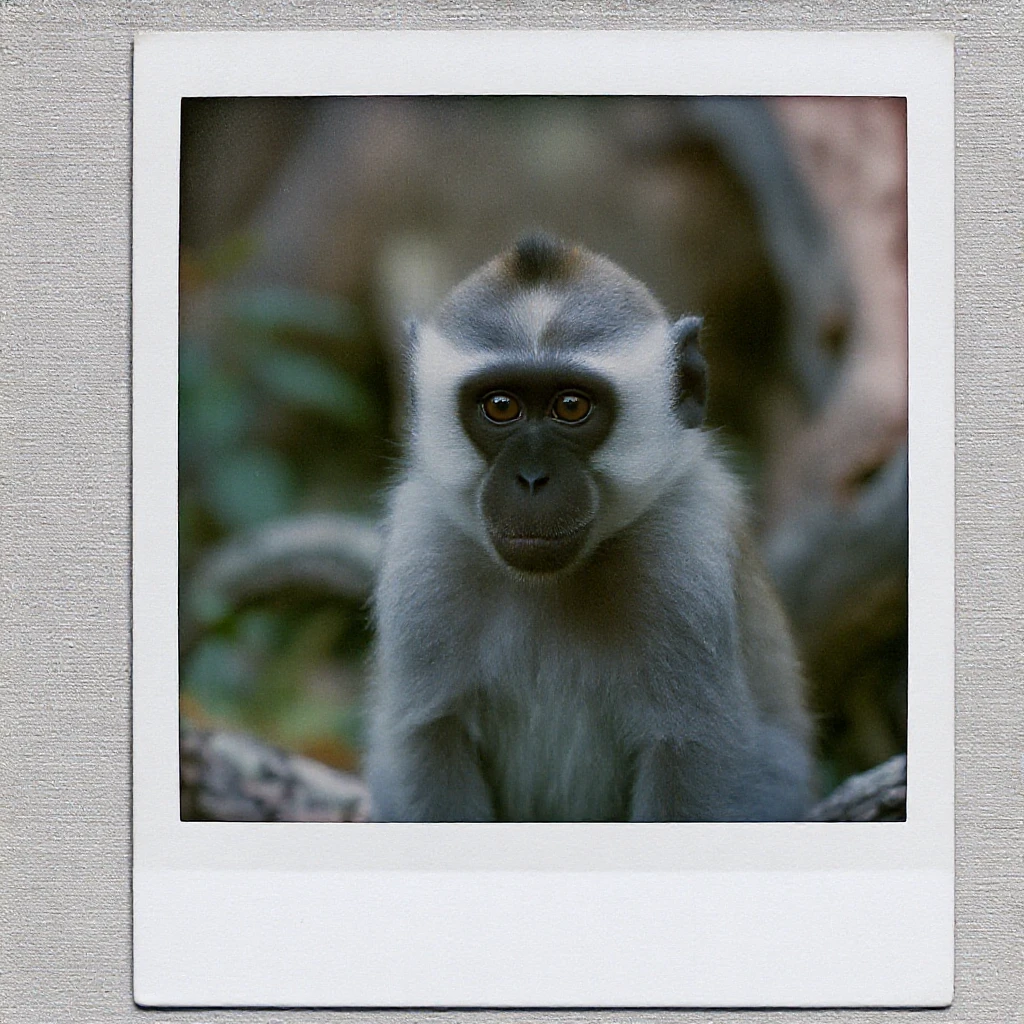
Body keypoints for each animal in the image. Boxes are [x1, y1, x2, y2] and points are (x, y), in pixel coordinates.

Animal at [364, 233, 814, 822]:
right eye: (501, 407)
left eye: (571, 406)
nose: (533, 479)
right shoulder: (423, 551)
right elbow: (429, 737)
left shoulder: (685, 555)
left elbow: (691, 756)